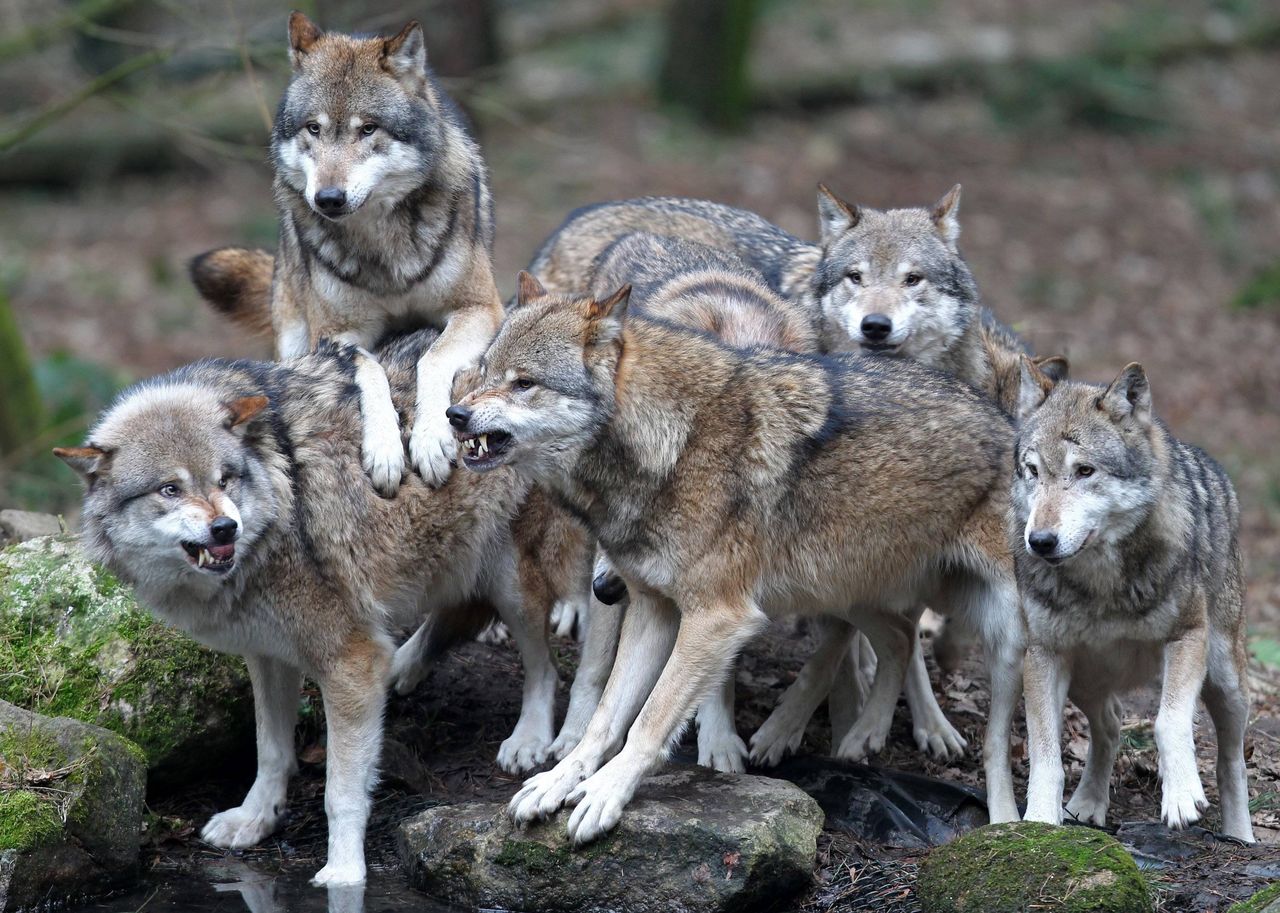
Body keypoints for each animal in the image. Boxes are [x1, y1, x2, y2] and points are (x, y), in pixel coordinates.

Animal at [57, 330, 560, 880]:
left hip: (514, 582)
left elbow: (341, 791)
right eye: (169, 489)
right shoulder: (268, 655)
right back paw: (407, 671)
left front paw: (343, 871)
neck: (279, 499)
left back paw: (530, 740)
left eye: (225, 479)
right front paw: (255, 819)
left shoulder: (350, 660)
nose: (225, 528)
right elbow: (271, 752)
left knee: (545, 665)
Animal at [192, 12, 501, 499]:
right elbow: (368, 370)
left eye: (367, 128)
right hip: (293, 338)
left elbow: (432, 359)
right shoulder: (336, 335)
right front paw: (386, 451)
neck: (382, 243)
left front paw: (431, 439)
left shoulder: (480, 308)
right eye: (314, 128)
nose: (329, 198)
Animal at [445, 272, 1024, 840]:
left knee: (997, 739)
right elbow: (607, 716)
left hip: (1008, 635)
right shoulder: (654, 610)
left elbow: (648, 721)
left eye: (524, 383)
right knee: (901, 639)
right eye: (486, 370)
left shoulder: (716, 618)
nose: (454, 414)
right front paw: (557, 782)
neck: (673, 445)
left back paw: (1011, 824)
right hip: (846, 589)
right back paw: (864, 736)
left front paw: (604, 795)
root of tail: (1010, 422)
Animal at [1013, 355, 1254, 840]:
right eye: (1033, 471)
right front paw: (1040, 822)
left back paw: (1240, 835)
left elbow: (1168, 721)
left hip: (1226, 681)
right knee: (1109, 724)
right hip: (1086, 676)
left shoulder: (1187, 637)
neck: (1102, 586)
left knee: (1232, 763)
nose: (1040, 542)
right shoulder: (1043, 655)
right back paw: (1088, 804)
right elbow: (1045, 753)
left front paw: (1181, 798)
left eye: (1084, 471)